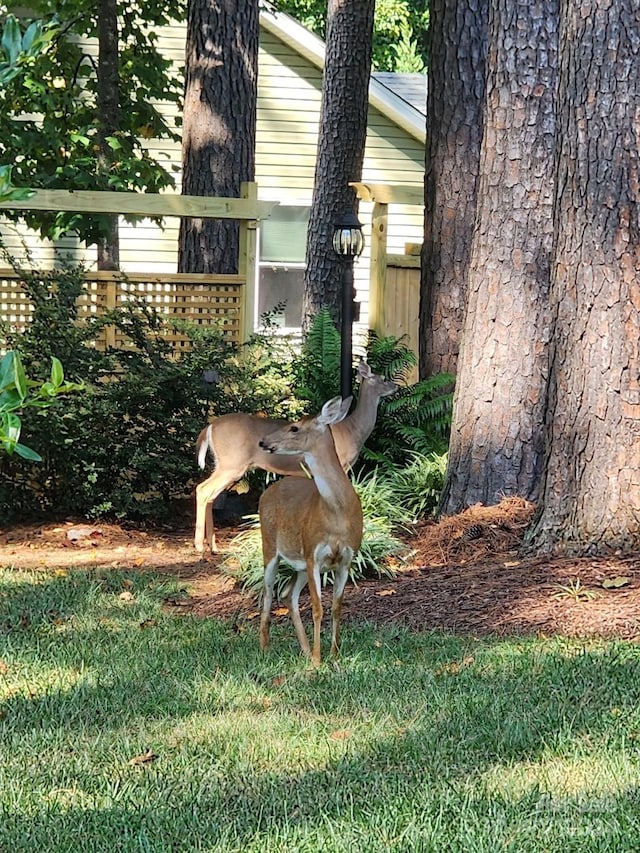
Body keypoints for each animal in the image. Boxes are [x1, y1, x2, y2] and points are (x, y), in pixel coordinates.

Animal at [192, 360, 398, 552]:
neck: (353, 431)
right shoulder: (341, 463)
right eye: (383, 378)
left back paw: (213, 546)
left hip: (225, 464)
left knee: (211, 495)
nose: (396, 386)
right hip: (232, 463)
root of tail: (210, 427)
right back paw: (200, 545)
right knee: (203, 489)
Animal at [256, 394, 364, 664]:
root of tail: (267, 492)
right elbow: (317, 607)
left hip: (300, 564)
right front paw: (317, 659)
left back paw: (303, 649)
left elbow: (336, 607)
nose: (263, 441)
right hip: (269, 545)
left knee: (288, 593)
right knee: (268, 593)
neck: (336, 514)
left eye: (294, 428)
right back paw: (265, 647)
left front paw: (334, 655)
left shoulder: (346, 558)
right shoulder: (313, 552)